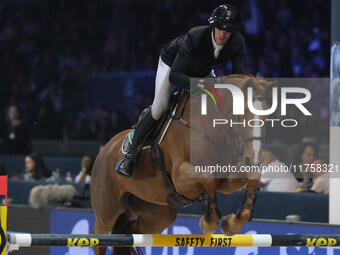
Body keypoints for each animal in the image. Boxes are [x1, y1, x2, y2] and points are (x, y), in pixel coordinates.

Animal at [91, 74, 276, 255]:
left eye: (268, 117)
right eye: (243, 113)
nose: (253, 160)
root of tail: (105, 148)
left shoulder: (227, 177)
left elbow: (252, 177)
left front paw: (232, 223)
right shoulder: (181, 179)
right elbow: (207, 178)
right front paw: (209, 222)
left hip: (159, 211)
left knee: (129, 229)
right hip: (107, 210)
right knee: (99, 238)